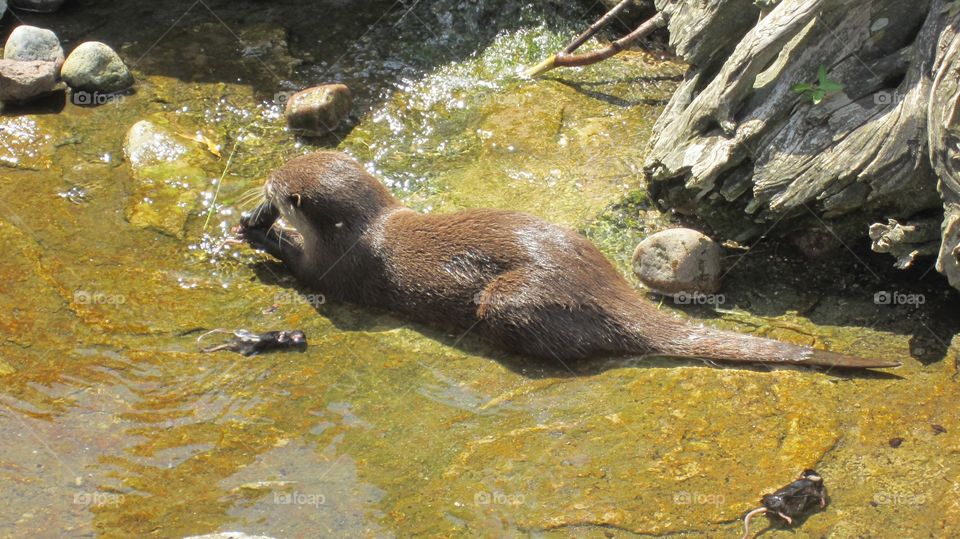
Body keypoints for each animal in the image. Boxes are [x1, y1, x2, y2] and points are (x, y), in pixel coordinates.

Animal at [237, 151, 899, 369]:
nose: (263, 187)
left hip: (509, 301)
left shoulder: (338, 268)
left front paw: (260, 236)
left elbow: (306, 275)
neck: (368, 230)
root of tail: (605, 289)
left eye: (280, 186)